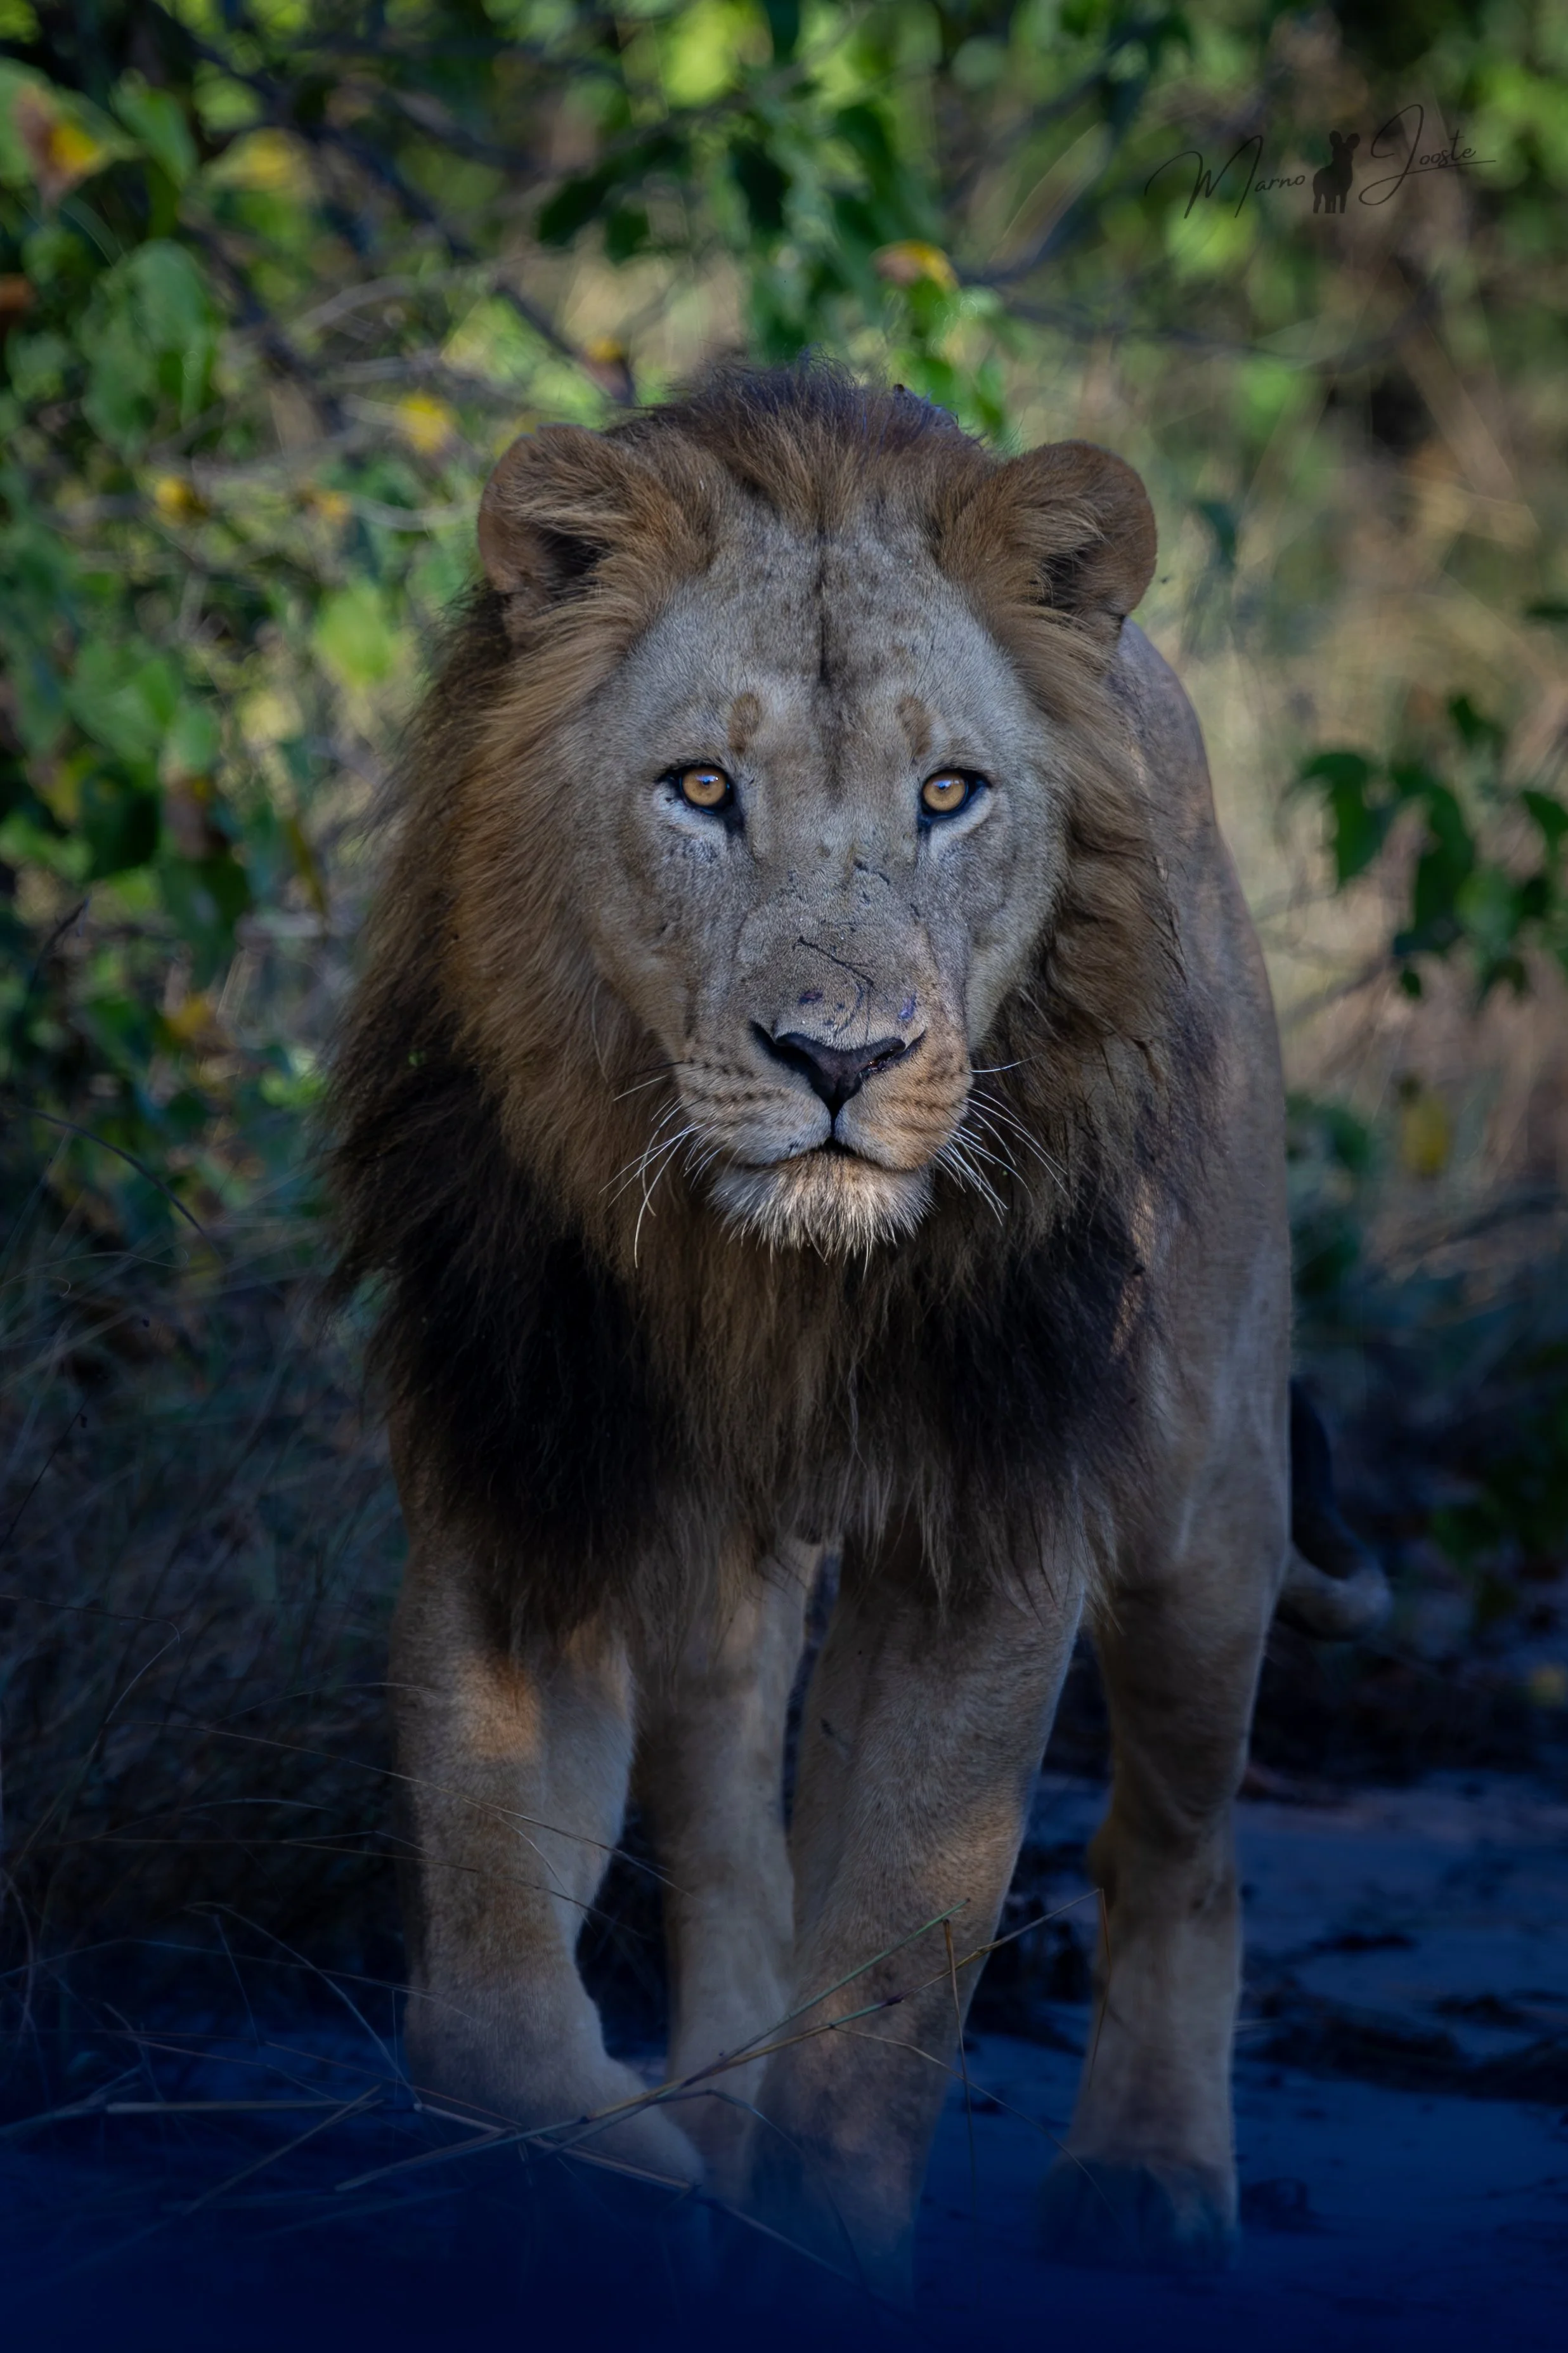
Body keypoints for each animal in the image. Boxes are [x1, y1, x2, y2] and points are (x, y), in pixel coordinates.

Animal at [329, 362, 1385, 2288]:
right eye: (700, 787)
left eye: (950, 793)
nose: (842, 1057)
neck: (764, 1284)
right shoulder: (526, 1471)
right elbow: (484, 1968)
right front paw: (620, 2157)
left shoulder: (991, 1519)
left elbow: (893, 1973)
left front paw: (808, 2246)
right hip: (727, 1572)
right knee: (736, 1834)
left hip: (1205, 1502)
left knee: (1178, 1849)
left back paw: (1151, 2174)